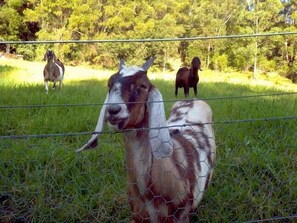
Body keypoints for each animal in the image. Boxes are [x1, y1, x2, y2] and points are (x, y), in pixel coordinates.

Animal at [76, 58, 215, 223]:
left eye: (143, 85)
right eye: (109, 84)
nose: (113, 110)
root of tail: (193, 101)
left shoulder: (181, 216)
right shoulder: (137, 216)